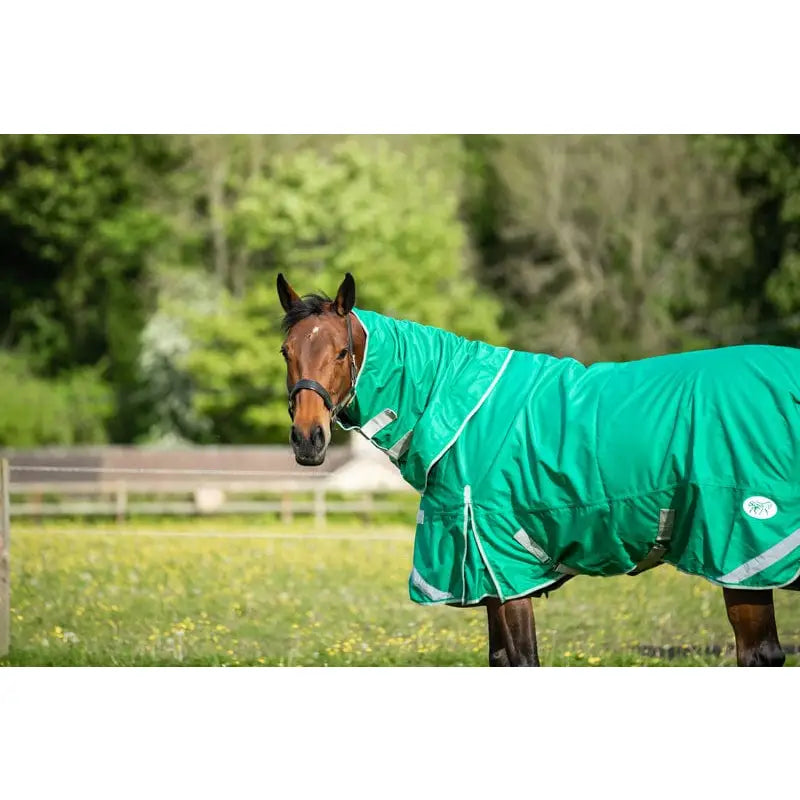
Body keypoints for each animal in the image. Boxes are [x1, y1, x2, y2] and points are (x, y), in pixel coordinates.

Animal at [277, 271, 800, 666]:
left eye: (341, 353)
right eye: (287, 351)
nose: (308, 440)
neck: (456, 408)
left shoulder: (504, 568)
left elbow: (523, 659)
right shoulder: (486, 577)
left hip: (743, 559)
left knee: (759, 654)